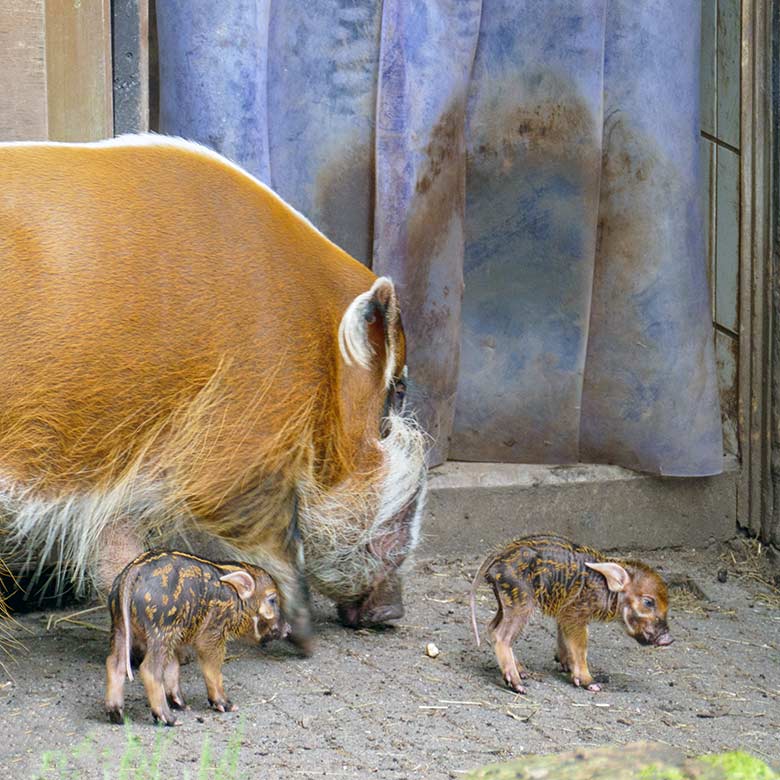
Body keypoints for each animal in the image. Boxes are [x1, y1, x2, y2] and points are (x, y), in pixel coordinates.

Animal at [105, 548, 284, 724]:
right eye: (272, 600)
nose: (286, 629)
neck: (235, 600)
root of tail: (132, 573)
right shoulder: (212, 634)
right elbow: (212, 668)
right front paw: (228, 706)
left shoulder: (177, 638)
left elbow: (173, 667)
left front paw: (183, 705)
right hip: (160, 631)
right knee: (149, 669)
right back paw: (170, 719)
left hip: (122, 627)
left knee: (115, 663)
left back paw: (118, 715)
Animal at [470, 536, 672, 696]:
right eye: (648, 602)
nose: (668, 639)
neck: (607, 591)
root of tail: (498, 556)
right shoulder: (575, 614)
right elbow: (580, 645)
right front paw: (591, 683)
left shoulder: (563, 613)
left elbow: (564, 640)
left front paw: (566, 666)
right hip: (521, 602)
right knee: (501, 635)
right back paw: (519, 685)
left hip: (507, 602)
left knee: (491, 627)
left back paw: (523, 673)